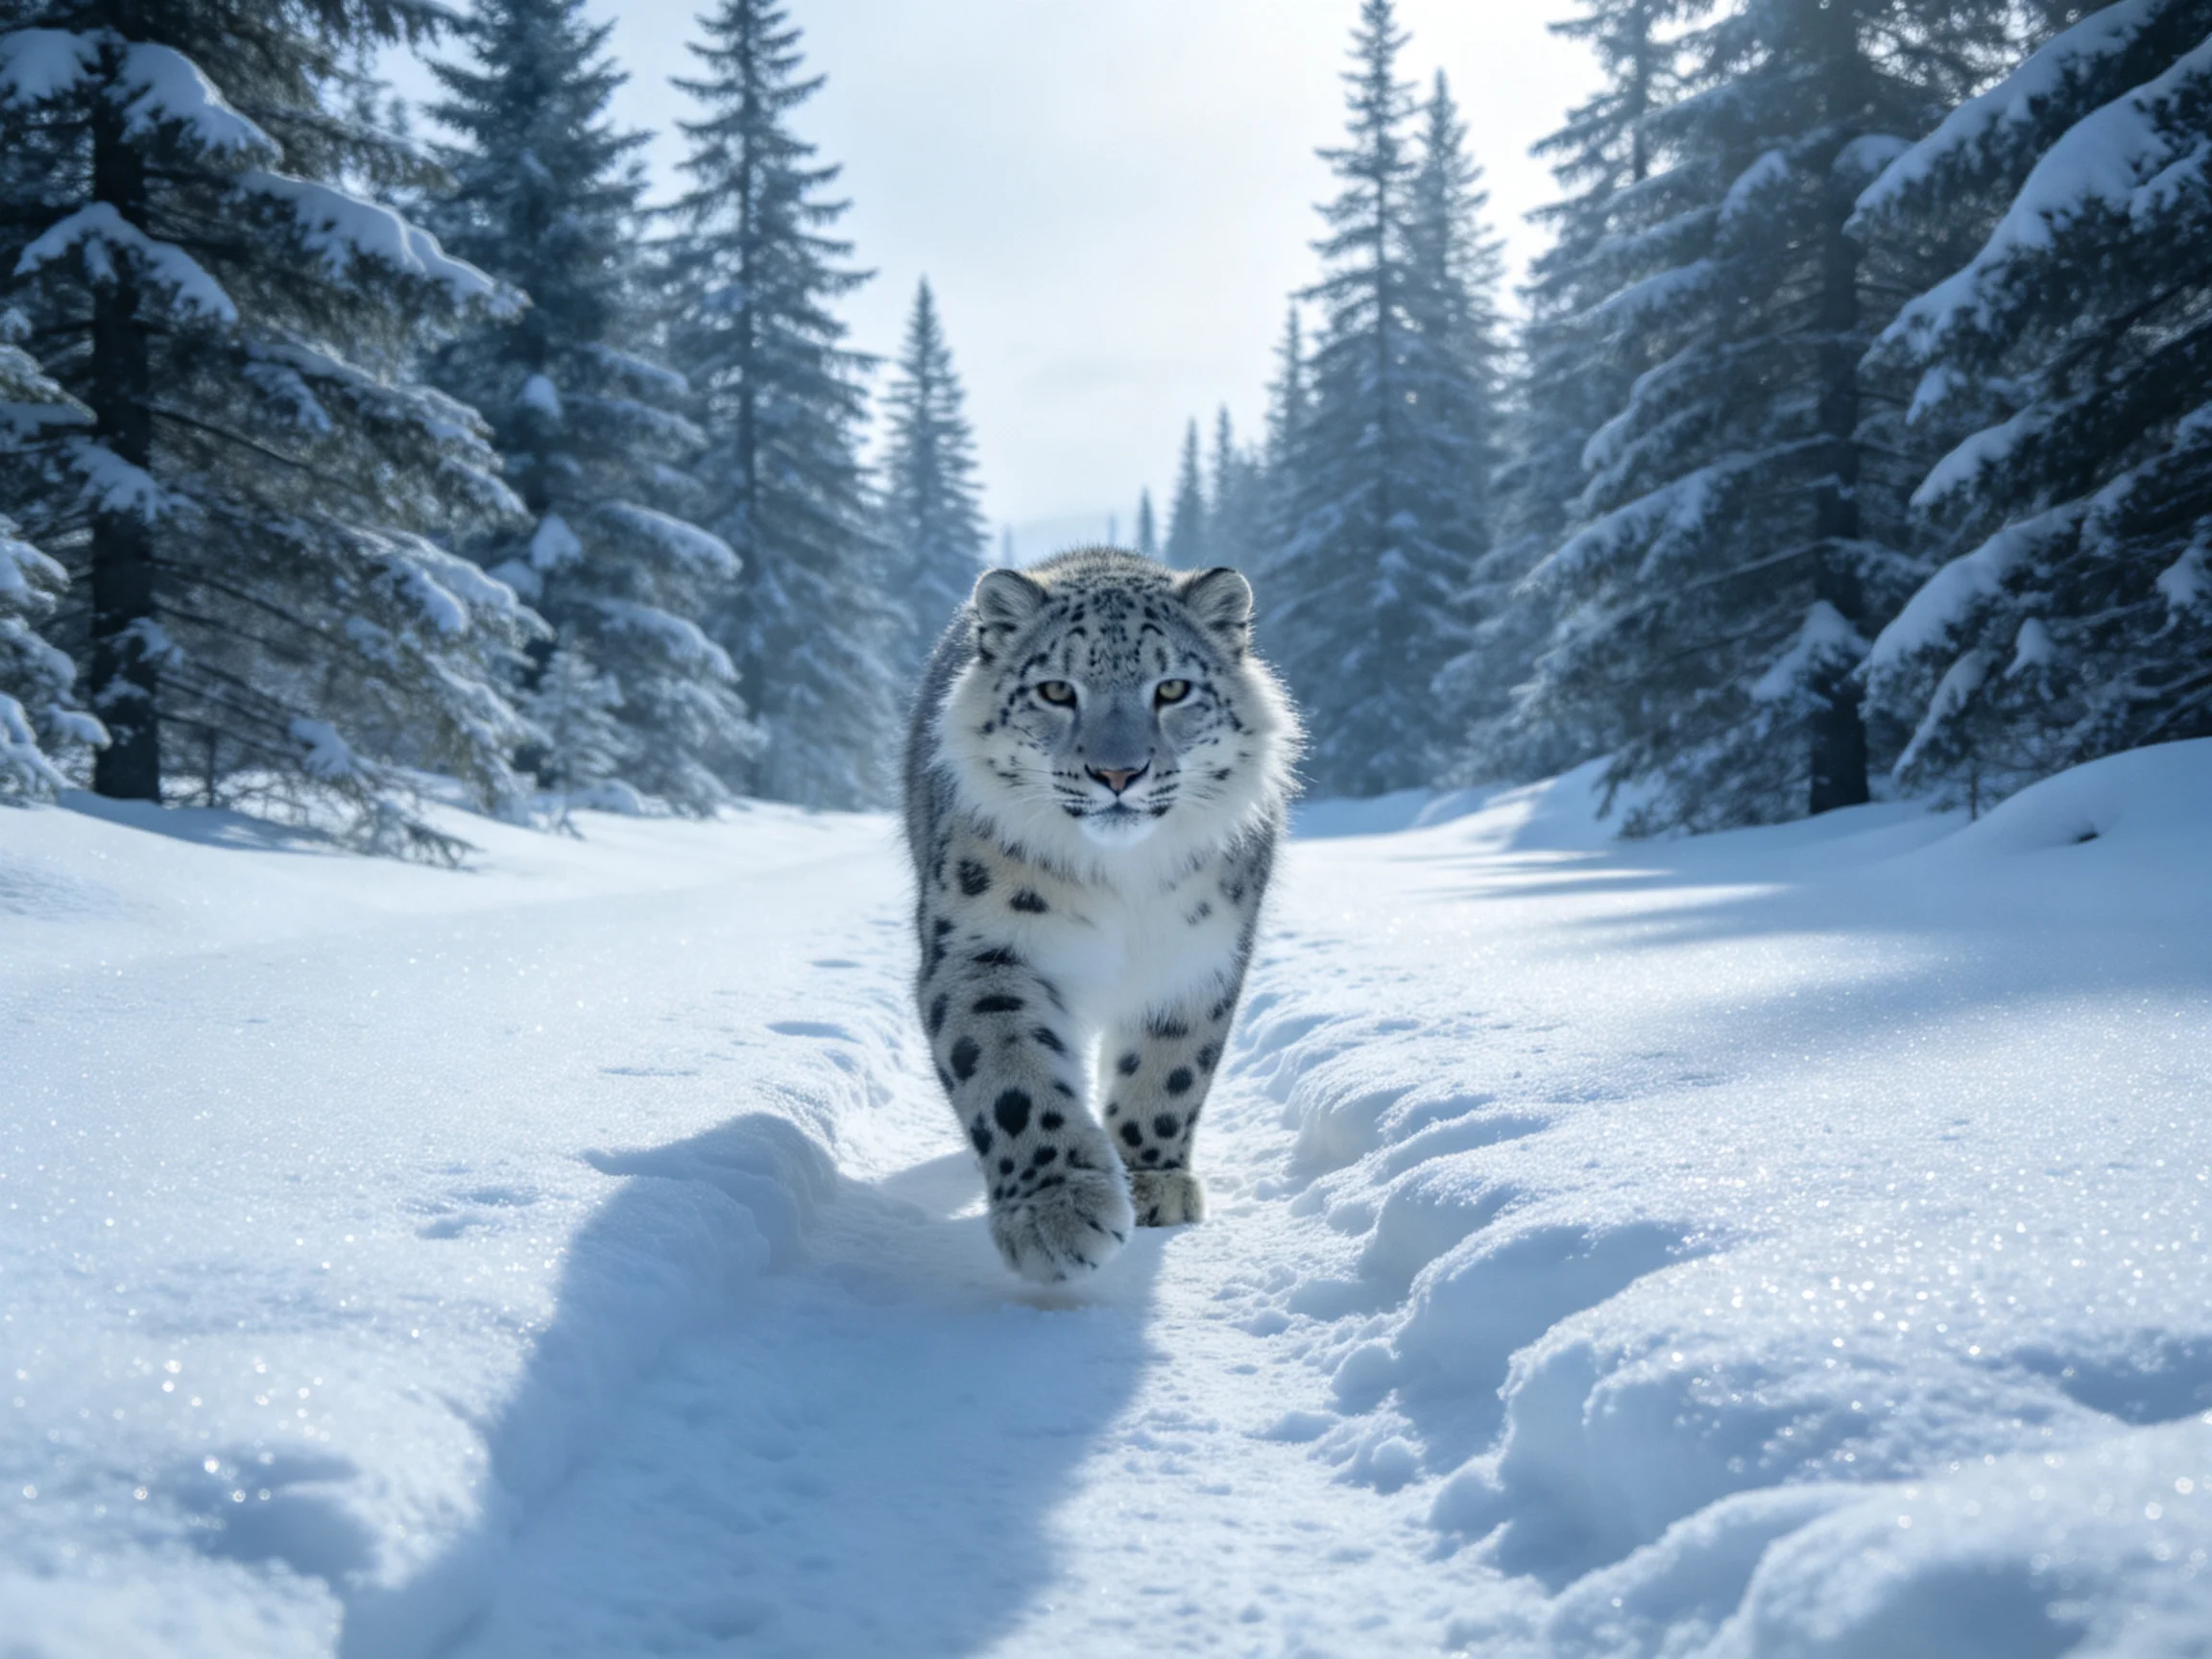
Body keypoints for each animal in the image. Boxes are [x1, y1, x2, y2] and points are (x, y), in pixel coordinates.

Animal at [902, 547, 1300, 1283]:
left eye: (1172, 689)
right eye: (1057, 691)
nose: (1118, 774)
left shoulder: (1196, 956)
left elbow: (1170, 1069)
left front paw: (1151, 1180)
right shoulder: (985, 946)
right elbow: (1008, 1070)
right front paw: (1057, 1209)